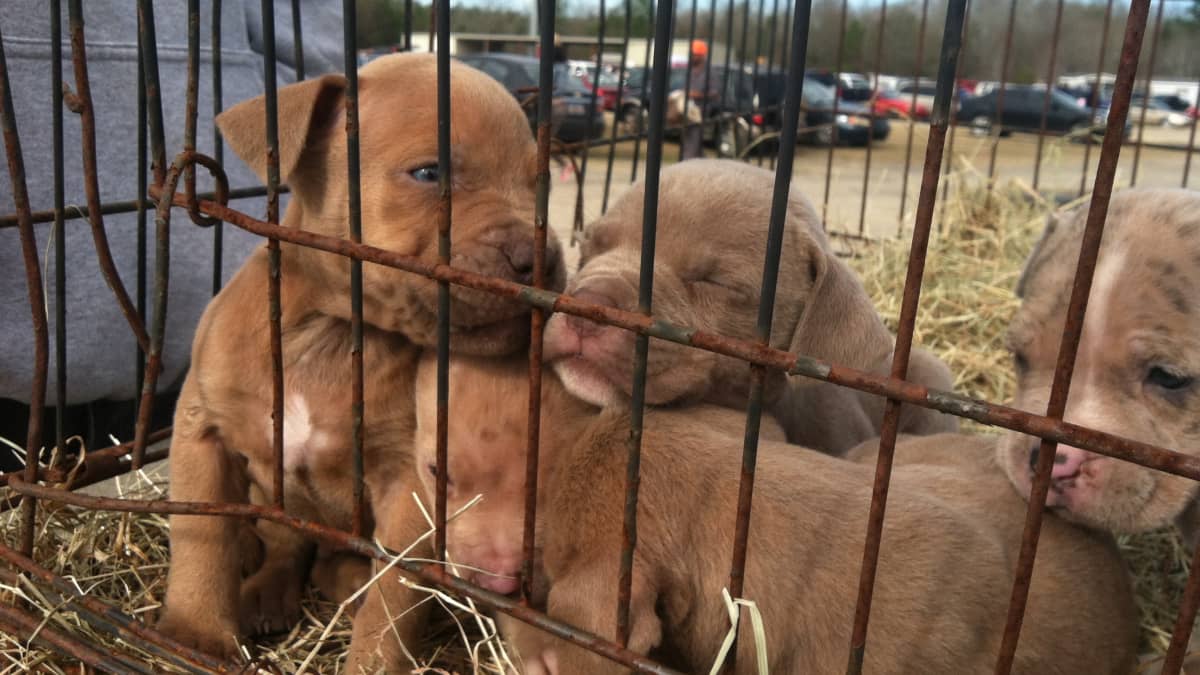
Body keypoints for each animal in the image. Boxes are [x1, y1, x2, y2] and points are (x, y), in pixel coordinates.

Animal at [157, 52, 564, 667]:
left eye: (541, 185)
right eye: (429, 174)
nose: (542, 261)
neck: (333, 332)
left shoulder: (408, 493)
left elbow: (392, 601)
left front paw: (373, 659)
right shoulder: (201, 433)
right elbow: (201, 538)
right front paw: (195, 632)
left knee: (335, 565)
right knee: (286, 544)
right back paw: (265, 592)